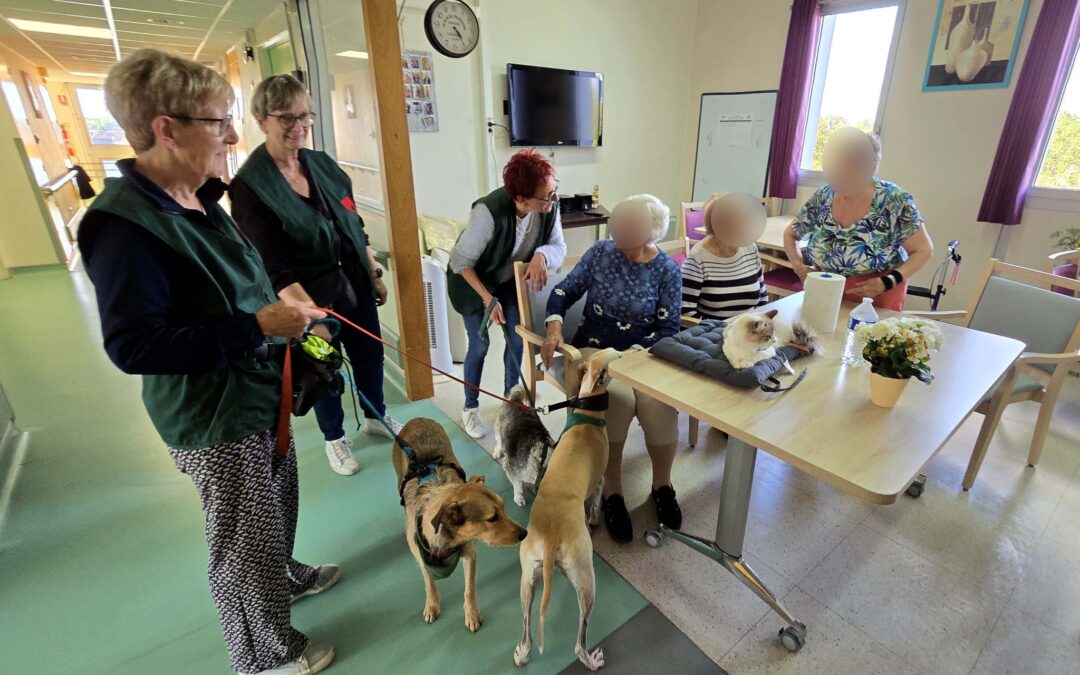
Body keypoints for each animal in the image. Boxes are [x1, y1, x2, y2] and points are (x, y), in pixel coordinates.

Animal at [397, 416, 531, 630]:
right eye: (492, 518)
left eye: (503, 507)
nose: (524, 533)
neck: (446, 544)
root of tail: (417, 418)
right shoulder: (420, 557)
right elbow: (429, 582)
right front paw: (432, 605)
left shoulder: (470, 554)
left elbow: (469, 588)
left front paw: (472, 613)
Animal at [514, 347, 626, 669]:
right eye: (619, 354)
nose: (634, 350)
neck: (587, 413)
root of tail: (551, 538)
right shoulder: (600, 481)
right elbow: (596, 504)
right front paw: (594, 520)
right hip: (587, 580)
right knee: (579, 641)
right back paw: (592, 659)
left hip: (528, 577)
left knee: (526, 629)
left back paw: (522, 653)